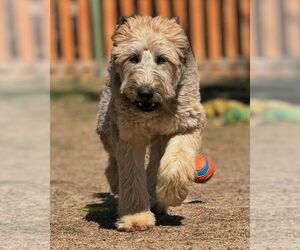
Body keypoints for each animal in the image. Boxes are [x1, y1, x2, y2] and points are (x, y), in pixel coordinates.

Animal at [97, 15, 205, 230]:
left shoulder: (186, 124)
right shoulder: (129, 134)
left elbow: (176, 162)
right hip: (106, 121)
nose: (145, 92)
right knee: (113, 156)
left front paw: (171, 193)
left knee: (156, 160)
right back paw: (115, 179)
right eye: (133, 58)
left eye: (161, 59)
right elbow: (131, 173)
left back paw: (156, 198)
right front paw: (136, 216)